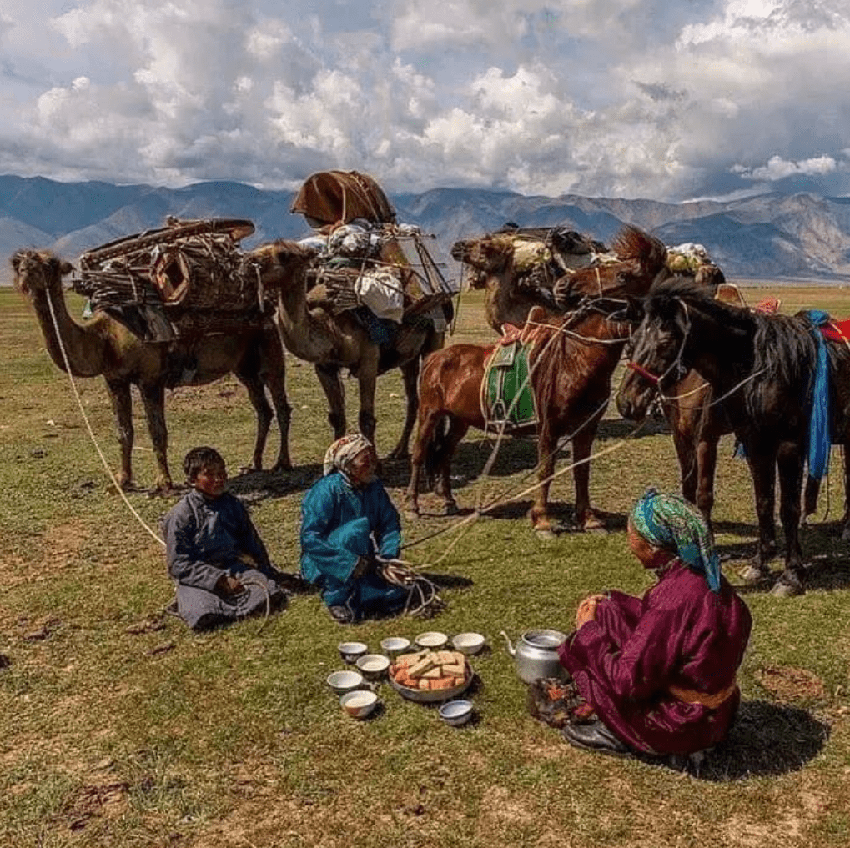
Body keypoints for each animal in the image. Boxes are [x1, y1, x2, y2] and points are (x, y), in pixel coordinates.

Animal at [11, 248, 296, 494]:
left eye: (50, 262)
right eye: (19, 261)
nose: (25, 270)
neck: (106, 338)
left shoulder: (150, 378)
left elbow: (157, 431)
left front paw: (163, 483)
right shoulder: (114, 379)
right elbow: (124, 431)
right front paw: (122, 481)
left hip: (269, 345)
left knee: (280, 403)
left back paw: (282, 463)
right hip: (243, 366)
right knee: (262, 408)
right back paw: (254, 462)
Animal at [248, 238, 448, 458]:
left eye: (285, 254)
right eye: (260, 247)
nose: (249, 261)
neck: (330, 328)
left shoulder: (369, 360)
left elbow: (366, 418)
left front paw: (372, 462)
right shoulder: (324, 367)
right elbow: (337, 417)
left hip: (435, 337)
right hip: (408, 357)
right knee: (412, 399)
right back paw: (399, 450)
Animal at [402, 300, 628, 536]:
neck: (575, 360)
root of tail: (434, 358)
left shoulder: (586, 428)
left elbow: (582, 471)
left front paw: (590, 520)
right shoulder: (548, 428)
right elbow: (546, 470)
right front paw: (542, 522)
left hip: (459, 421)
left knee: (445, 453)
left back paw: (448, 500)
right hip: (429, 413)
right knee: (419, 454)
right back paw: (412, 506)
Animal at [616, 278, 848, 596]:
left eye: (664, 342)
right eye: (632, 342)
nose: (626, 402)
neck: (761, 369)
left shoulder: (784, 445)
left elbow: (786, 508)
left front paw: (791, 576)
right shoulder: (752, 442)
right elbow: (762, 500)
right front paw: (759, 562)